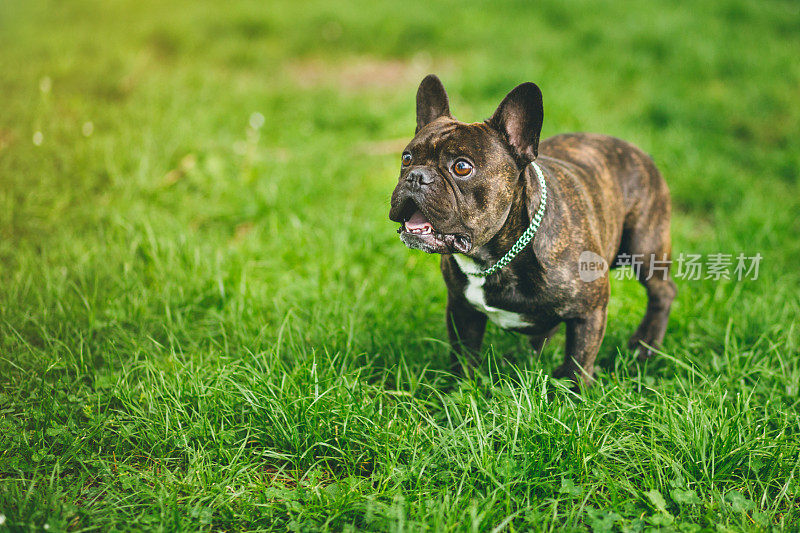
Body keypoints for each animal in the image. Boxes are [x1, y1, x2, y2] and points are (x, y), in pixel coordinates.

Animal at [390, 75, 680, 384]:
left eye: (462, 167)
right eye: (406, 158)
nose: (416, 176)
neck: (495, 258)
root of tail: (639, 153)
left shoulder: (590, 313)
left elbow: (578, 361)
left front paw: (574, 391)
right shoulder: (461, 309)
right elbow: (464, 357)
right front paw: (459, 389)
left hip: (644, 248)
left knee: (662, 291)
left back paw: (644, 346)